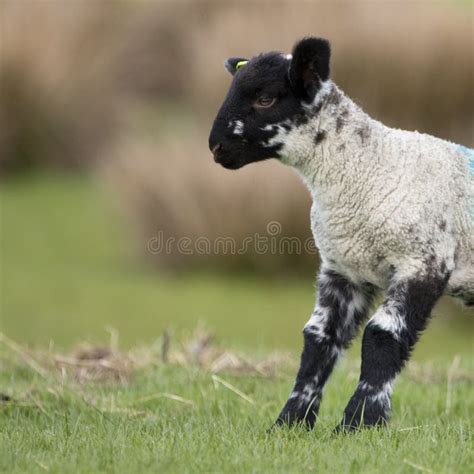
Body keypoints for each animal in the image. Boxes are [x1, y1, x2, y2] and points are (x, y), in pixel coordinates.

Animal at [209, 36, 472, 430]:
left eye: (265, 98)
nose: (216, 148)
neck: (367, 168)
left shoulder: (423, 262)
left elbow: (383, 335)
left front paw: (360, 421)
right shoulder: (344, 268)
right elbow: (319, 339)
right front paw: (291, 421)